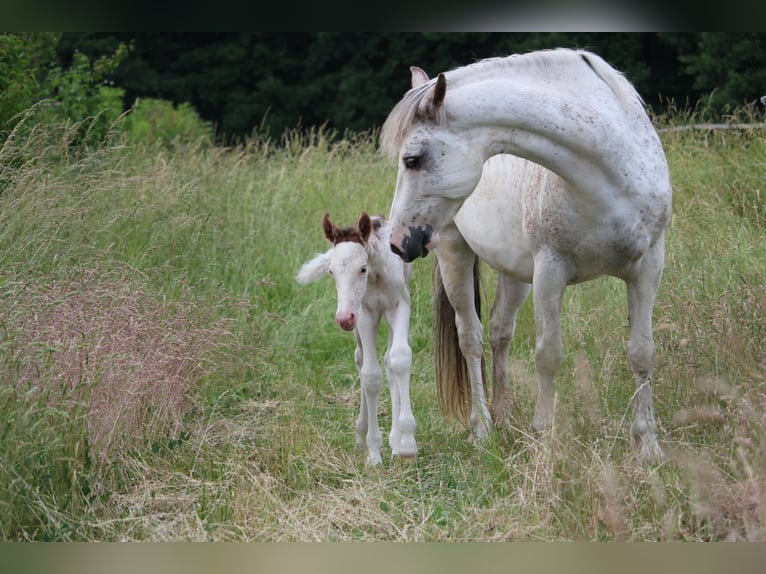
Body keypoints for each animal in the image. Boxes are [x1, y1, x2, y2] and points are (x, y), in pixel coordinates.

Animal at [296, 214, 416, 466]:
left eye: (362, 268)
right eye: (331, 271)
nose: (343, 319)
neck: (377, 274)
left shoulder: (399, 306)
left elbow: (400, 359)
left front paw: (407, 445)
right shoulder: (365, 314)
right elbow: (370, 375)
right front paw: (373, 451)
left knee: (389, 361)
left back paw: (394, 440)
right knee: (361, 360)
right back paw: (362, 433)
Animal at [382, 48, 672, 460]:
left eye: (413, 159)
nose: (397, 241)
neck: (614, 170)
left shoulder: (648, 267)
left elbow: (642, 352)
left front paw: (648, 445)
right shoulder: (551, 270)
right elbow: (548, 354)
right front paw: (545, 438)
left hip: (516, 273)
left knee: (500, 332)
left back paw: (504, 415)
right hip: (455, 252)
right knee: (471, 338)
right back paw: (483, 426)